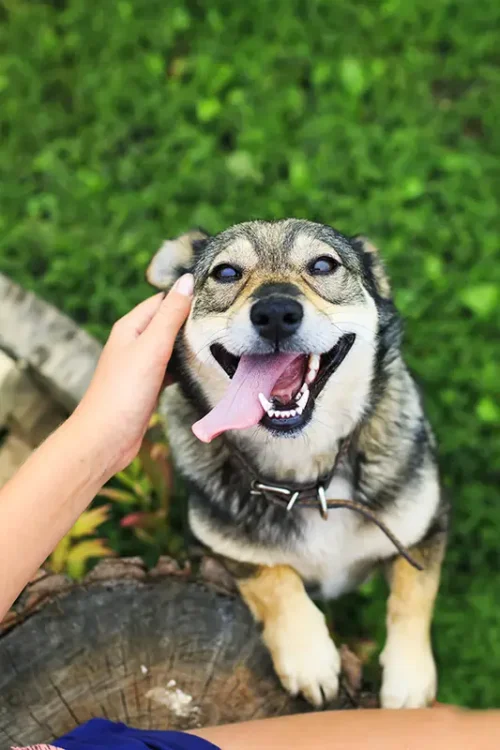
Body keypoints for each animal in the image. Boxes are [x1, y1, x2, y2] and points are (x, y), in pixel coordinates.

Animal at [146, 222, 448, 712]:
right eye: (225, 272)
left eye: (323, 265)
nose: (275, 312)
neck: (309, 479)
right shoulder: (214, 545)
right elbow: (272, 577)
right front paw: (310, 659)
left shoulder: (425, 522)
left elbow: (414, 594)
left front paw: (408, 681)